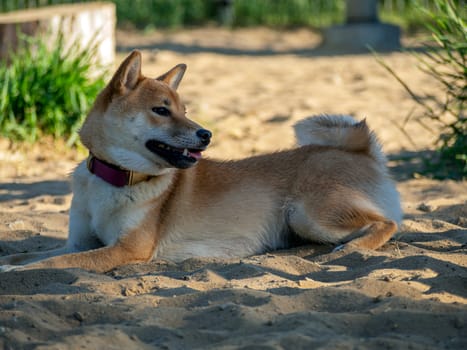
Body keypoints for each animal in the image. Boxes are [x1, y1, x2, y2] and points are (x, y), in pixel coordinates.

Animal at [0, 50, 402, 274]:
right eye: (162, 110)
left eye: (185, 110)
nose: (206, 134)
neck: (115, 178)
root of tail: (361, 151)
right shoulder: (77, 244)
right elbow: (35, 255)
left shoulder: (126, 250)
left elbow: (49, 264)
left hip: (307, 213)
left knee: (387, 223)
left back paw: (353, 248)